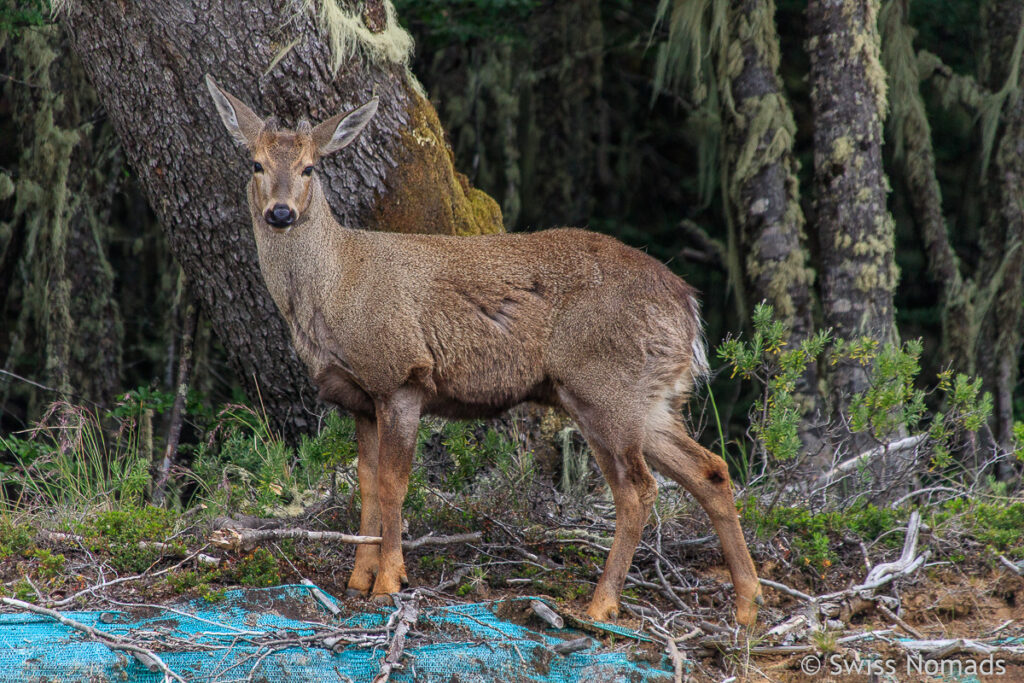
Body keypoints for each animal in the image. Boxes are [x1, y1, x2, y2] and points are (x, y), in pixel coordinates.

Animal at [205, 74, 761, 626]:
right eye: (256, 163)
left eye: (309, 166)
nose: (281, 212)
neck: (334, 290)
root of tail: (688, 308)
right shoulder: (359, 396)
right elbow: (365, 483)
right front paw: (358, 580)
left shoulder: (402, 374)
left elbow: (393, 484)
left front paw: (390, 582)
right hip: (649, 399)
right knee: (710, 469)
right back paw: (747, 603)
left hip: (604, 388)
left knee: (636, 490)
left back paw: (601, 605)